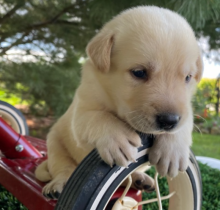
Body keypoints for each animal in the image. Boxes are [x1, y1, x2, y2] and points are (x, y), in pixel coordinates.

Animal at [35, 5, 203, 198]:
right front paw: (118, 139)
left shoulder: (186, 110)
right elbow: (97, 117)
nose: (169, 121)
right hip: (55, 144)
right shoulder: (81, 111)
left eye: (188, 77)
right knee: (64, 168)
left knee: (126, 180)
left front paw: (173, 151)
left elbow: (185, 122)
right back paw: (58, 185)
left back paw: (139, 179)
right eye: (139, 72)